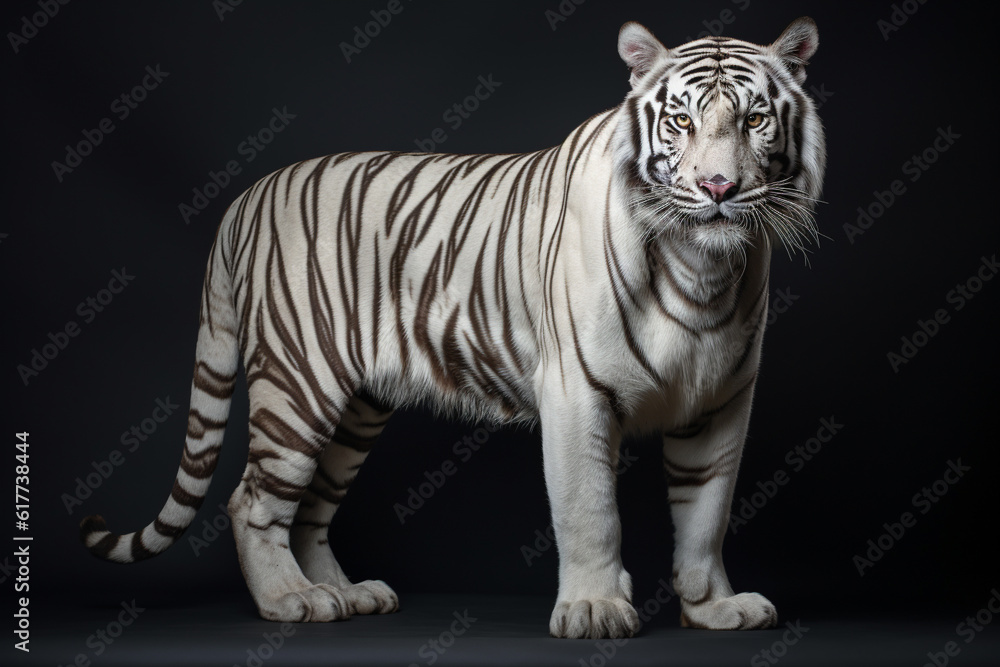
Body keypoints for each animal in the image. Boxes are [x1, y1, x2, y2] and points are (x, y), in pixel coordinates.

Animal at [80, 17, 825, 639]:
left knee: (312, 506)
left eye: (755, 118)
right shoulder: (577, 391)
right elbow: (588, 508)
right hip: (298, 382)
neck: (700, 267)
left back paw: (345, 593)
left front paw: (712, 607)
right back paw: (290, 600)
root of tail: (245, 197)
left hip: (357, 405)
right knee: (253, 500)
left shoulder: (721, 403)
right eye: (680, 121)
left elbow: (706, 513)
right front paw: (593, 608)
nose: (718, 188)